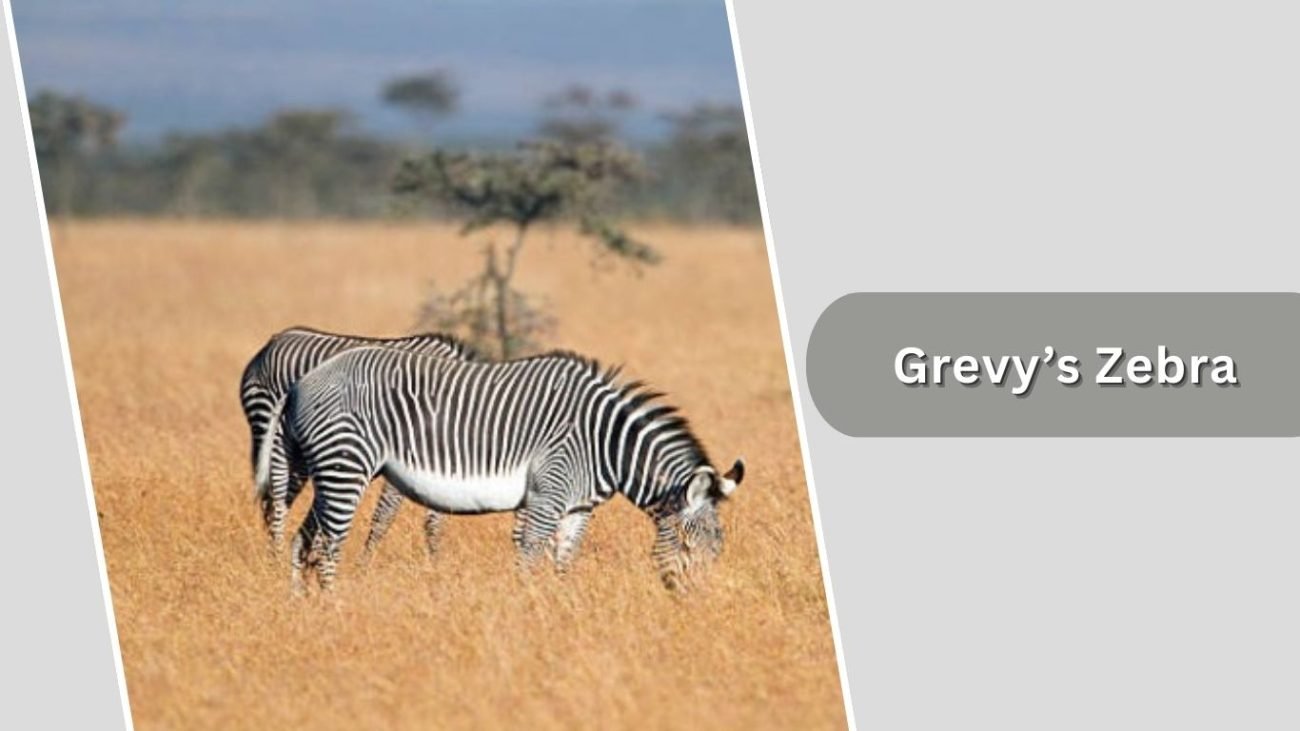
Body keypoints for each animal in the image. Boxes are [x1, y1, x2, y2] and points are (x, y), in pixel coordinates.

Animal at [240, 326, 479, 557]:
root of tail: (273, 342)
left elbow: (435, 519)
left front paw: (435, 562)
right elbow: (385, 516)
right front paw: (364, 564)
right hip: (273, 437)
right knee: (274, 501)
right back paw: (276, 557)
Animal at [257, 345, 745, 592]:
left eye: (719, 549)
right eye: (688, 543)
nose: (697, 601)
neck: (604, 442)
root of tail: (302, 381)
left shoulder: (577, 508)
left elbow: (563, 562)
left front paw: (561, 612)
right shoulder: (548, 496)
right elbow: (529, 558)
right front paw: (528, 613)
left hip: (322, 470)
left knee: (303, 540)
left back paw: (303, 610)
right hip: (345, 469)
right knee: (329, 544)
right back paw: (335, 609)